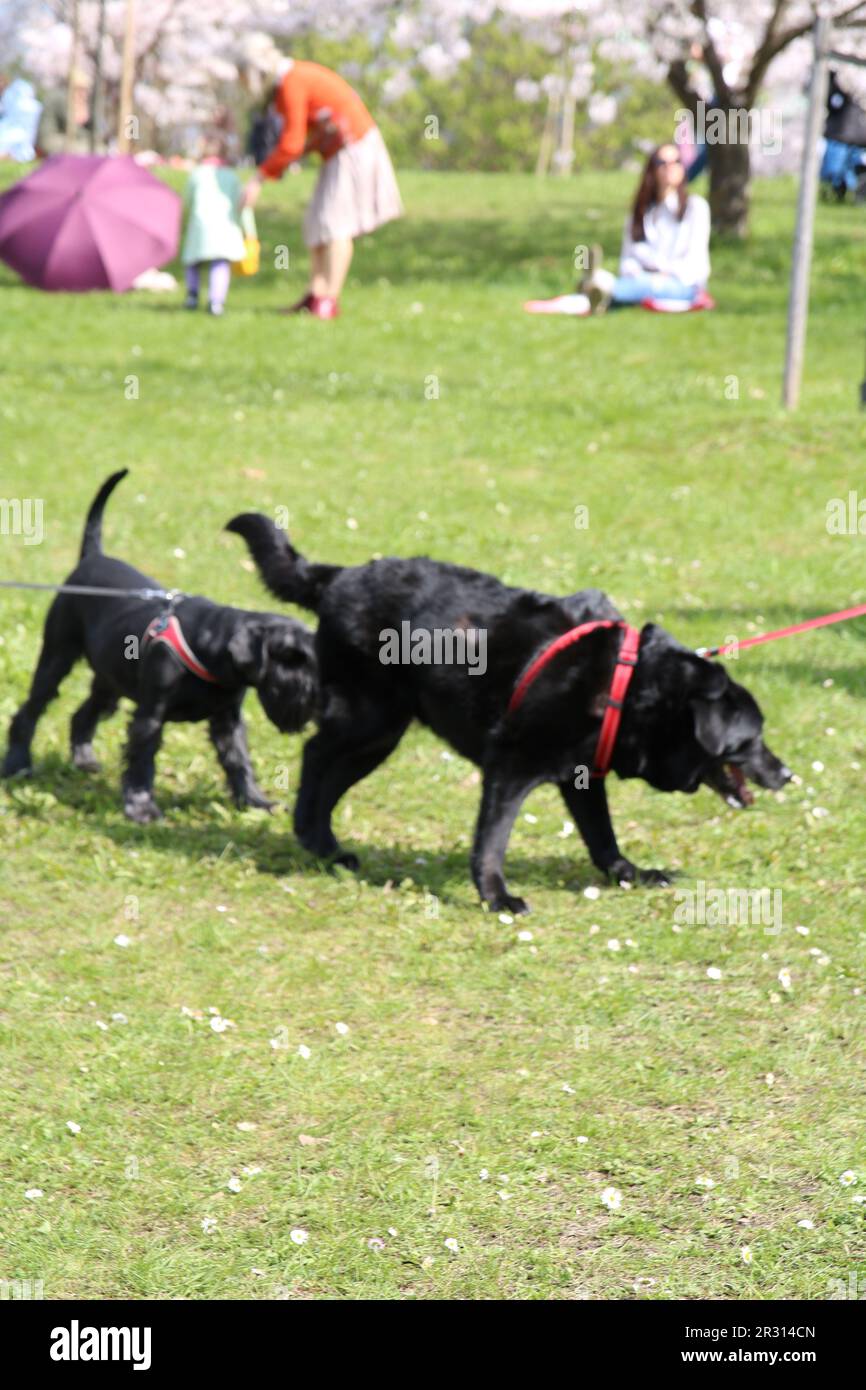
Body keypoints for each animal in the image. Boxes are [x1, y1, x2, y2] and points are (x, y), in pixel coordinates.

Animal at [3, 472, 318, 817]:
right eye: (291, 657)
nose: (316, 695)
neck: (212, 649)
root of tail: (93, 557)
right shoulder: (150, 716)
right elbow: (142, 759)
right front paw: (142, 809)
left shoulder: (228, 721)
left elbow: (238, 759)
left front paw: (254, 800)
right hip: (56, 657)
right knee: (30, 709)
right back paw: (17, 764)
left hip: (109, 681)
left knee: (84, 713)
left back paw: (84, 760)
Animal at [229, 511, 795, 911]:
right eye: (752, 739)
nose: (787, 773)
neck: (627, 689)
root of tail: (338, 577)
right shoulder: (509, 765)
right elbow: (492, 839)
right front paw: (495, 896)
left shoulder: (582, 778)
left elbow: (603, 837)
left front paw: (631, 874)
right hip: (369, 720)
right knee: (315, 755)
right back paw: (313, 835)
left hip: (380, 735)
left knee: (328, 770)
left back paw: (325, 848)